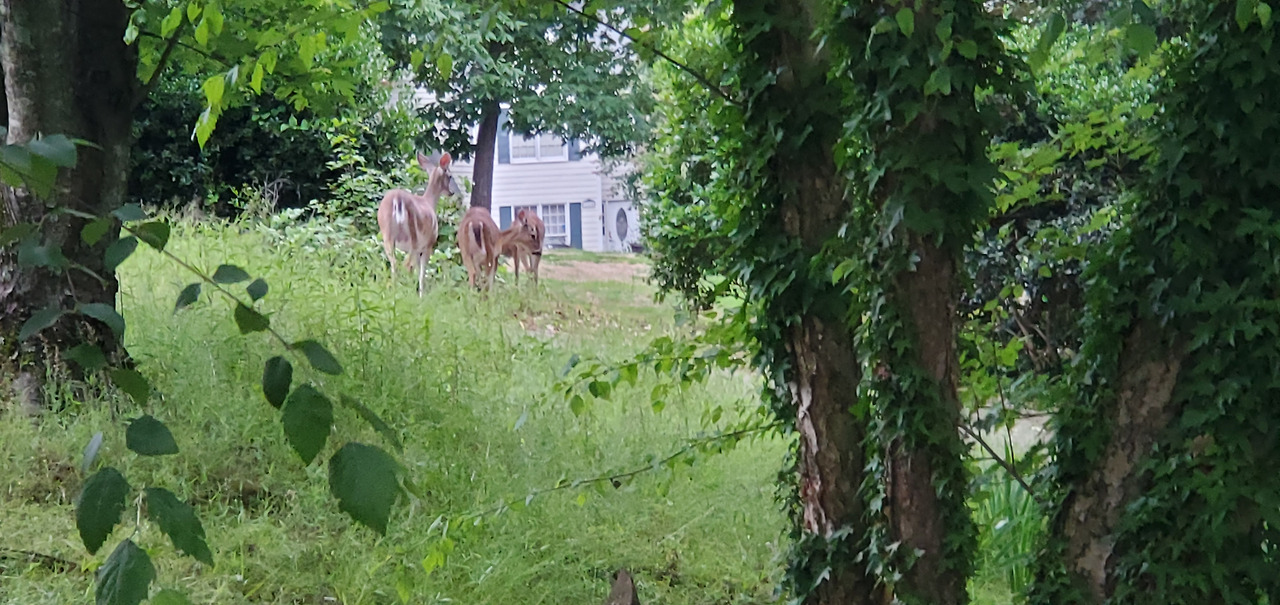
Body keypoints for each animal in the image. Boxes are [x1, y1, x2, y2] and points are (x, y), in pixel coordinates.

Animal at [376, 151, 461, 297]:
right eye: (449, 176)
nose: (452, 192)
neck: (429, 202)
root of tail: (398, 200)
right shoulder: (428, 245)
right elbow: (421, 273)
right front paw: (421, 296)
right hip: (414, 238)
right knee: (406, 265)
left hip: (387, 235)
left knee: (395, 264)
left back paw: (394, 293)